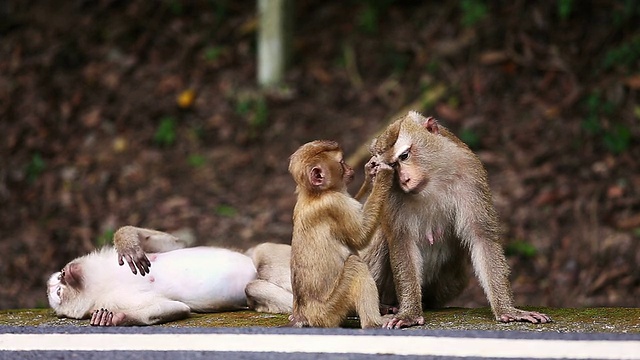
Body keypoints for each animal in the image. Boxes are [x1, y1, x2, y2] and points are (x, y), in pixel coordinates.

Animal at [288, 139, 392, 328]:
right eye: (342, 162)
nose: (350, 168)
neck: (314, 193)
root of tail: (304, 314)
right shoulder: (335, 203)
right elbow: (360, 237)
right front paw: (383, 176)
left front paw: (370, 173)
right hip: (328, 312)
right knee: (355, 265)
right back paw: (374, 322)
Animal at [358, 111, 552, 328]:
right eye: (393, 165)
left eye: (404, 156)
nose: (404, 180)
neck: (431, 179)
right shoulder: (389, 190)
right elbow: (401, 241)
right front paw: (410, 314)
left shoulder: (470, 173)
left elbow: (481, 236)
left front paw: (508, 310)